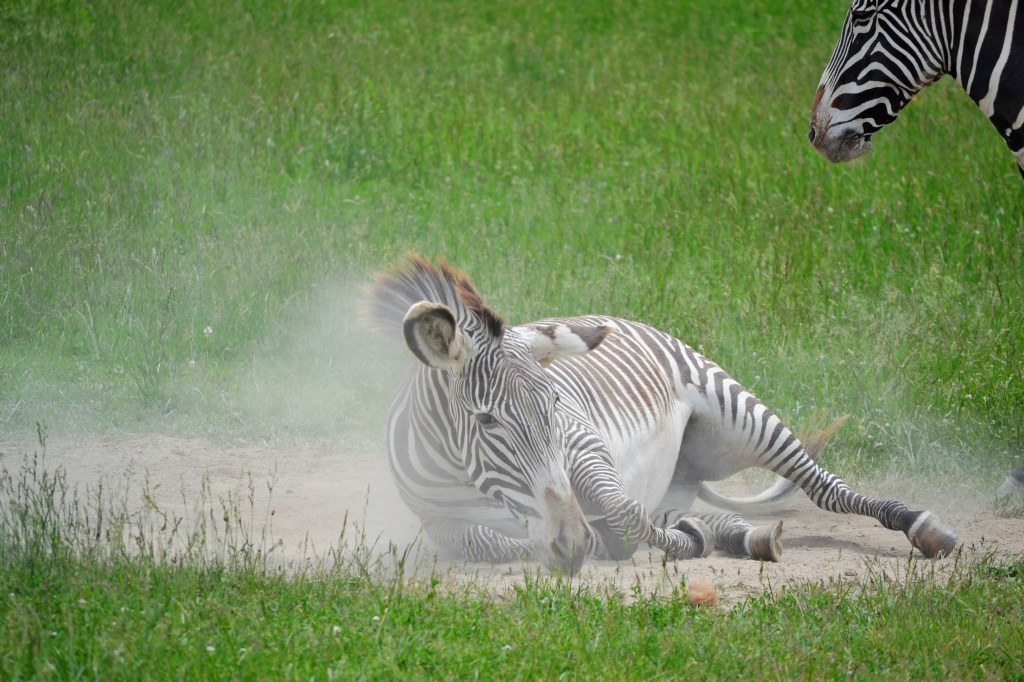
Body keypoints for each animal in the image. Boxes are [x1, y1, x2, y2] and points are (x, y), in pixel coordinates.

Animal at [363, 256, 958, 573]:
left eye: (553, 405)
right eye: (487, 422)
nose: (573, 542)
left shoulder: (582, 445)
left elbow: (621, 511)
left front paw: (663, 543)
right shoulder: (439, 521)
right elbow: (486, 542)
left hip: (741, 414)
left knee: (824, 487)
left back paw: (921, 526)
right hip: (683, 475)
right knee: (695, 512)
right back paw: (743, 536)